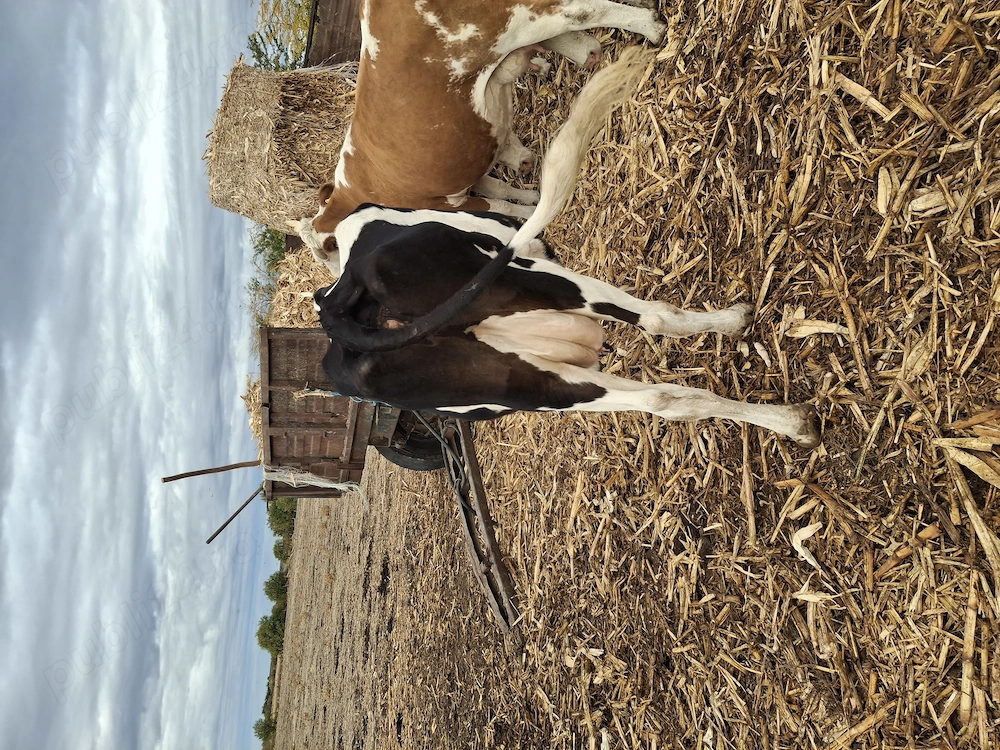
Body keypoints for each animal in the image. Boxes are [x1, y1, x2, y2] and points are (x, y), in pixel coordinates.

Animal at [292, 0, 668, 275]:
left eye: (332, 255)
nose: (339, 276)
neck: (353, 194)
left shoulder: (451, 205)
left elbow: (500, 205)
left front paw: (526, 209)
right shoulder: (464, 180)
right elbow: (500, 184)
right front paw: (531, 191)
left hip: (504, 22)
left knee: (578, 12)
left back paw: (651, 26)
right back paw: (588, 52)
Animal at [308, 51, 823, 449]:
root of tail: (339, 302)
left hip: (523, 381)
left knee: (661, 396)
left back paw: (790, 421)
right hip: (531, 282)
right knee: (659, 325)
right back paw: (767, 372)